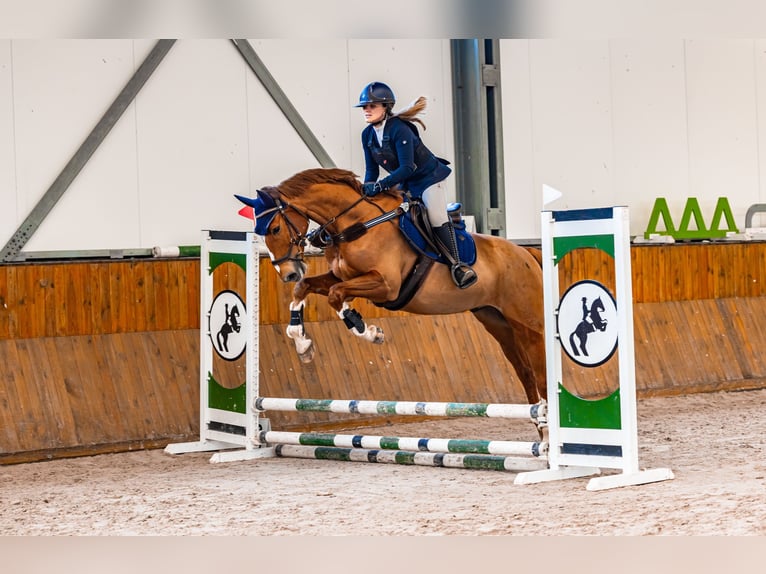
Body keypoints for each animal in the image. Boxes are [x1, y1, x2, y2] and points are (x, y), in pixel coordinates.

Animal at [237, 169, 548, 408]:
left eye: (275, 229)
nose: (287, 273)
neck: (356, 224)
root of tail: (526, 253)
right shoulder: (343, 277)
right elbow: (307, 288)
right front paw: (302, 343)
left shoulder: (386, 285)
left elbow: (338, 295)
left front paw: (367, 330)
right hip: (497, 322)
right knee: (526, 372)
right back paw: (540, 429)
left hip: (528, 323)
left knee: (541, 369)